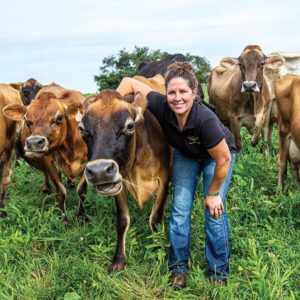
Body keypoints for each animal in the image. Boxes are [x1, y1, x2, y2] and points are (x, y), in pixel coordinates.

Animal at [3, 84, 88, 223]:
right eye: (27, 121)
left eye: (59, 118)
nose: (34, 142)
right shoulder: (48, 162)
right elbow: (60, 191)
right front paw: (64, 219)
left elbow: (82, 190)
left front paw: (81, 216)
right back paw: (47, 188)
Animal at [77, 88, 170, 272]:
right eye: (82, 129)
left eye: (129, 126)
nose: (99, 171)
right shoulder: (119, 185)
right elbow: (122, 221)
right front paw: (119, 259)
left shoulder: (165, 178)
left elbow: (155, 218)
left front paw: (159, 250)